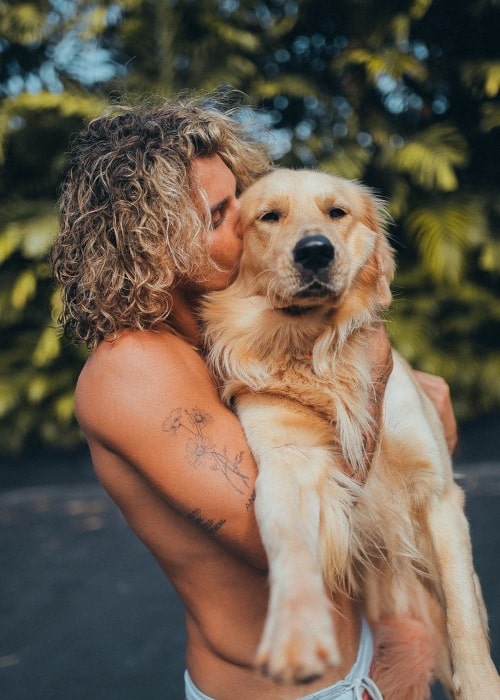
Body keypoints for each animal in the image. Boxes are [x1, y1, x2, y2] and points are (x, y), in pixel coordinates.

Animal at [200, 170, 500, 700]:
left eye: (336, 212)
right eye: (269, 216)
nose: (315, 252)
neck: (316, 349)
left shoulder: (438, 492)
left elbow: (463, 607)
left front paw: (482, 683)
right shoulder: (289, 462)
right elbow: (288, 542)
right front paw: (296, 634)